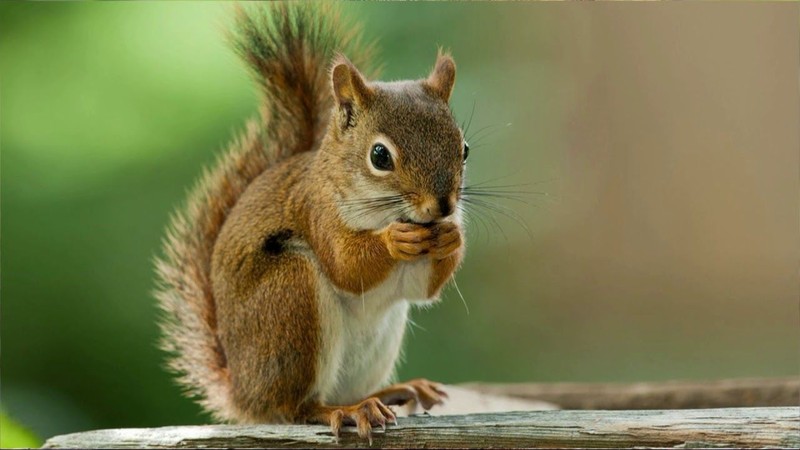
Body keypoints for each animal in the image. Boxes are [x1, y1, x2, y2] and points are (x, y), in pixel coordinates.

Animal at [155, 1, 468, 442]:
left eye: (464, 149)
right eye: (380, 156)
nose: (442, 207)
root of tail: (244, 394)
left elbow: (423, 288)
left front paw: (452, 238)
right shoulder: (316, 212)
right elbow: (346, 265)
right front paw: (393, 241)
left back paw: (392, 392)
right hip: (290, 298)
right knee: (297, 408)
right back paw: (347, 410)